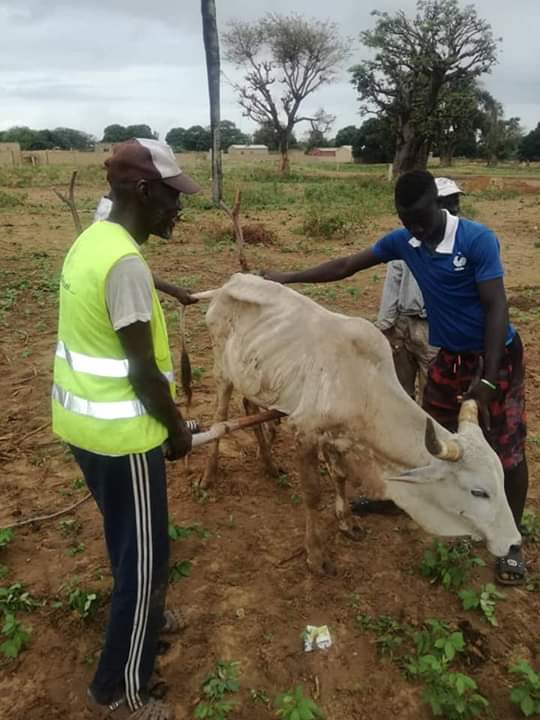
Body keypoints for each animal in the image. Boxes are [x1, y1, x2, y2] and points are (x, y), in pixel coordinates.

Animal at [200, 272, 520, 576]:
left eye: (502, 481)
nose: (513, 541)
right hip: (222, 373)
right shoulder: (305, 432)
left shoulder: (339, 438)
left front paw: (347, 522)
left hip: (253, 378)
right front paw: (316, 556)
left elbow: (340, 477)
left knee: (249, 406)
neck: (365, 385)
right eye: (479, 492)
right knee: (219, 419)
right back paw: (208, 476)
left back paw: (268, 464)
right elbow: (313, 495)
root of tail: (229, 284)